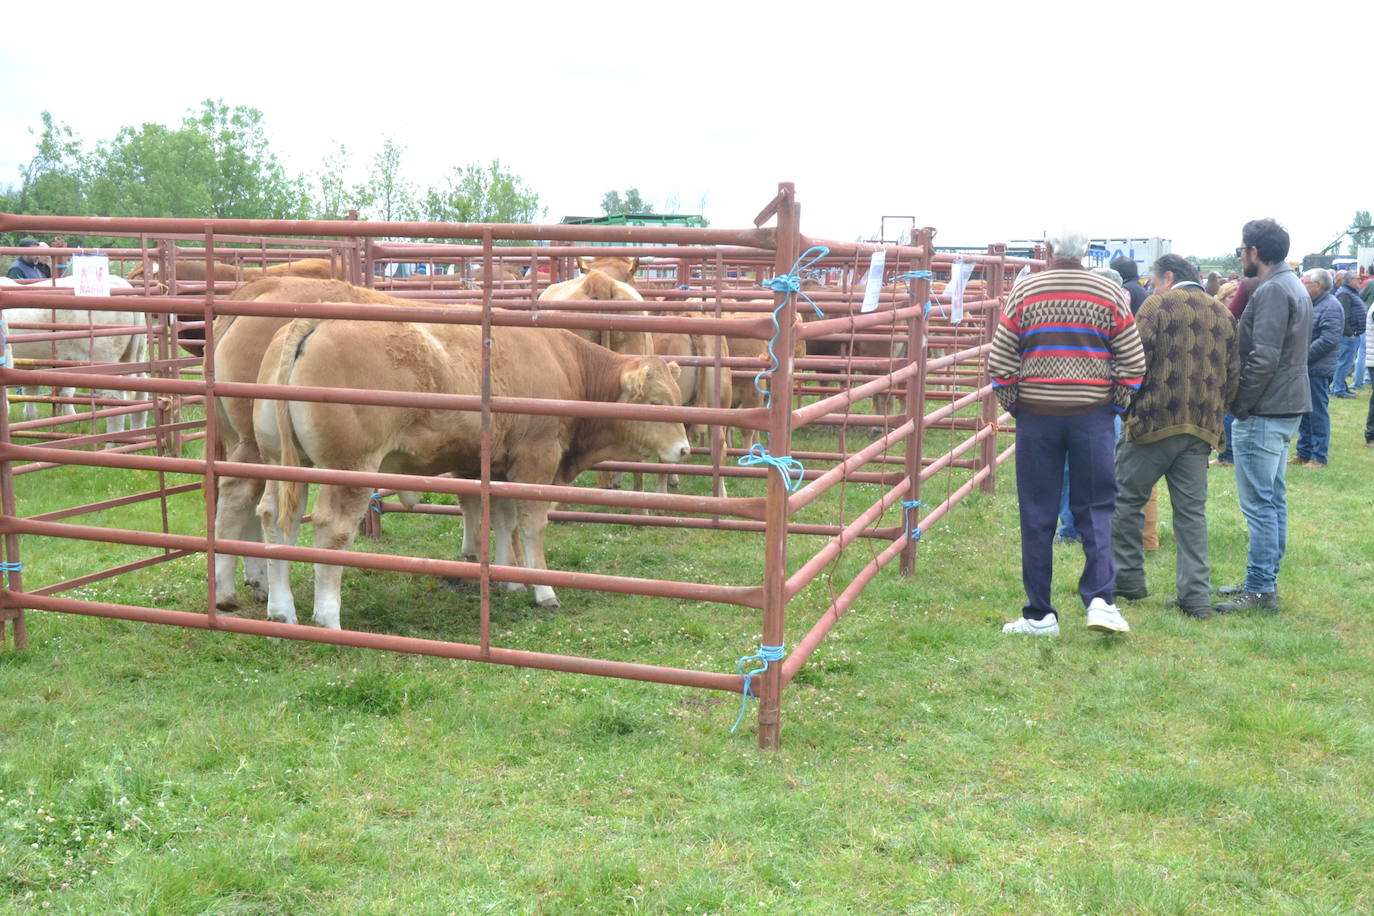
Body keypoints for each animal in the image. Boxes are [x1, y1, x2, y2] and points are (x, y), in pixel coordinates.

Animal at [250, 318, 687, 626]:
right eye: (656, 402)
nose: (683, 450)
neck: (565, 366)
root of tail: (314, 325)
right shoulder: (536, 460)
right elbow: (532, 526)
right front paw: (543, 590)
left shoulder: (501, 467)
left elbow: (504, 522)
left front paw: (510, 578)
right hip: (351, 467)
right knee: (331, 528)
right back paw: (327, 617)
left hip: (280, 461)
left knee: (276, 519)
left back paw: (281, 609)